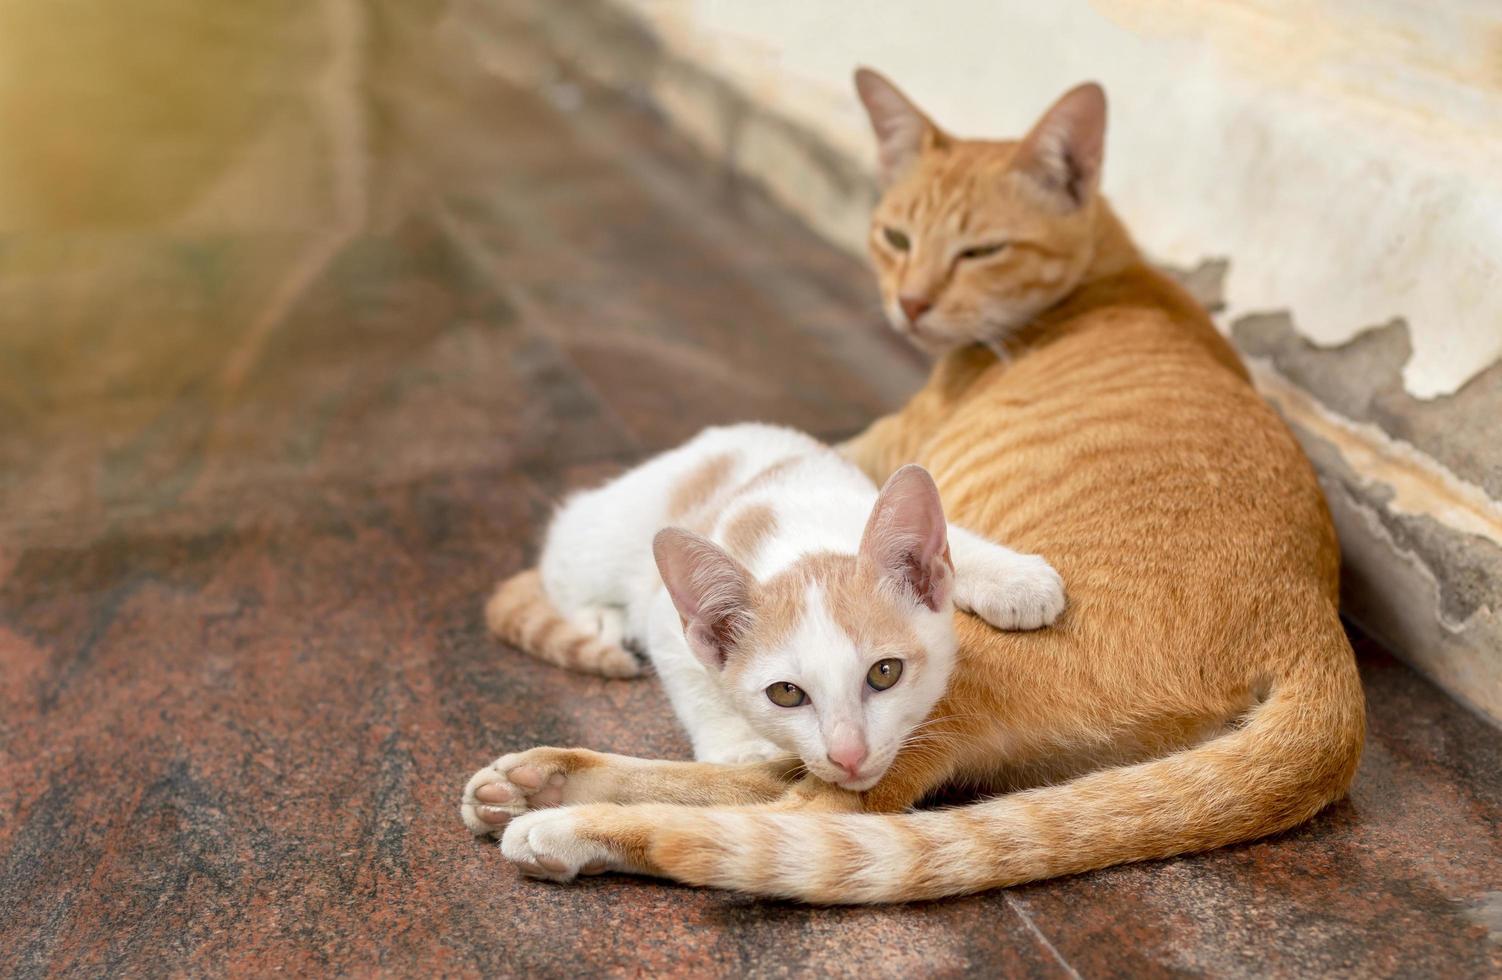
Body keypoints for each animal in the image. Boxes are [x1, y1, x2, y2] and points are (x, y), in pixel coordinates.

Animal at [474, 420, 1063, 793]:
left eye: (885, 673)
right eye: (786, 694)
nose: (848, 755)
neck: (799, 541)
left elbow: (955, 540)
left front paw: (1014, 579)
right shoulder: (667, 619)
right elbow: (691, 679)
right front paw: (739, 749)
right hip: (602, 537)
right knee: (560, 559)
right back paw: (598, 617)